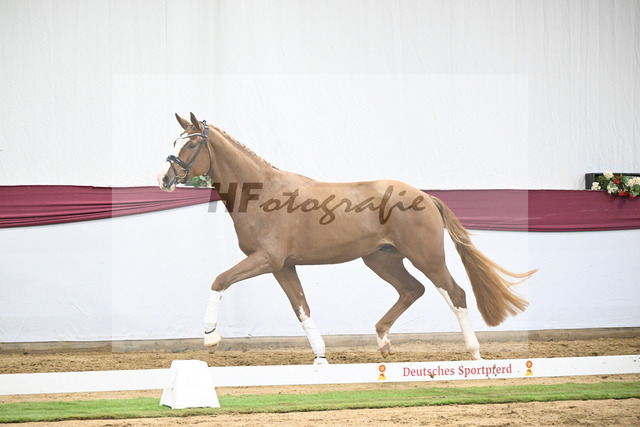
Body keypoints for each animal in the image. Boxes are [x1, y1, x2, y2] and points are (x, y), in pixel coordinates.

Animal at [158, 112, 536, 364]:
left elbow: (220, 280)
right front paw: (321, 358)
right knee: (412, 290)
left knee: (455, 294)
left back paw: (475, 355)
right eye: (174, 142)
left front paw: (211, 337)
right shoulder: (282, 266)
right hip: (381, 258)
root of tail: (426, 197)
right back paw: (383, 342)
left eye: (193, 143)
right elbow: (302, 308)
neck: (262, 193)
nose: (165, 178)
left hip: (426, 257)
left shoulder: (265, 259)